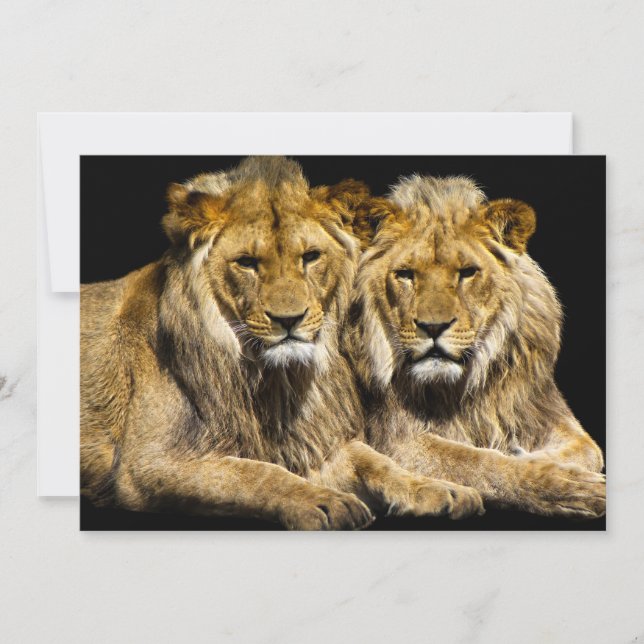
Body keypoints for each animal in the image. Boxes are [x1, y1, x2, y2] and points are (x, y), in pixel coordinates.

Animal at [80, 157, 484, 529]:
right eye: (246, 262)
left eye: (310, 257)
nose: (289, 320)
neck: (274, 380)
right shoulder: (147, 464)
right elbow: (254, 473)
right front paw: (324, 501)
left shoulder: (311, 442)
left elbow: (374, 460)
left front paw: (437, 488)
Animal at [349, 175, 605, 518]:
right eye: (405, 274)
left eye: (467, 272)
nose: (433, 327)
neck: (461, 387)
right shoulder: (396, 439)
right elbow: (477, 461)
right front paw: (567, 485)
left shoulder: (543, 410)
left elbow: (589, 450)